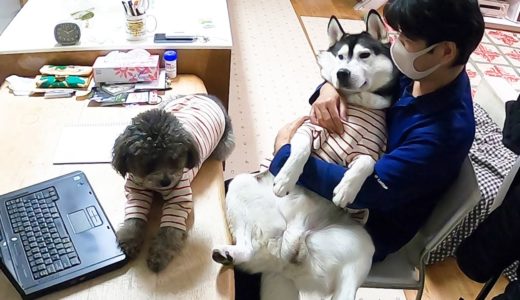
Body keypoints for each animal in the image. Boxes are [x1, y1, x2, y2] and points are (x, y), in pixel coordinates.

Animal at [213, 11, 400, 300]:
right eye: (340, 57)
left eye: (365, 55)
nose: (341, 73)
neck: (358, 106)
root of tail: (282, 255)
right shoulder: (309, 128)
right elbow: (299, 149)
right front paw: (286, 179)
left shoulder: (373, 150)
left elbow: (367, 163)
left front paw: (346, 189)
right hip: (242, 186)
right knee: (249, 249)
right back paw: (231, 253)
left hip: (360, 245)